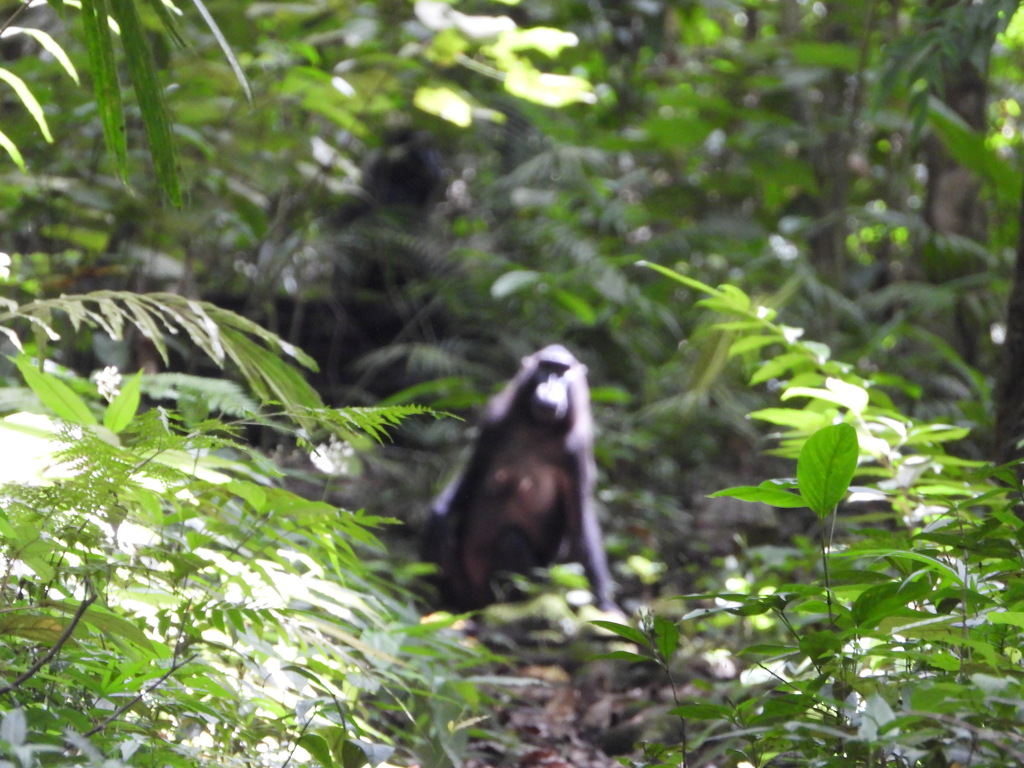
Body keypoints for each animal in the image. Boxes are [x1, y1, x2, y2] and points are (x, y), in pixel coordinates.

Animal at [423, 344, 616, 612]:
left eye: (562, 371)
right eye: (545, 368)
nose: (550, 387)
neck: (538, 430)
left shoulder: (577, 450)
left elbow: (580, 524)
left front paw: (605, 601)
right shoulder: (494, 422)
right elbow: (473, 474)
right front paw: (440, 512)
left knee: (511, 541)